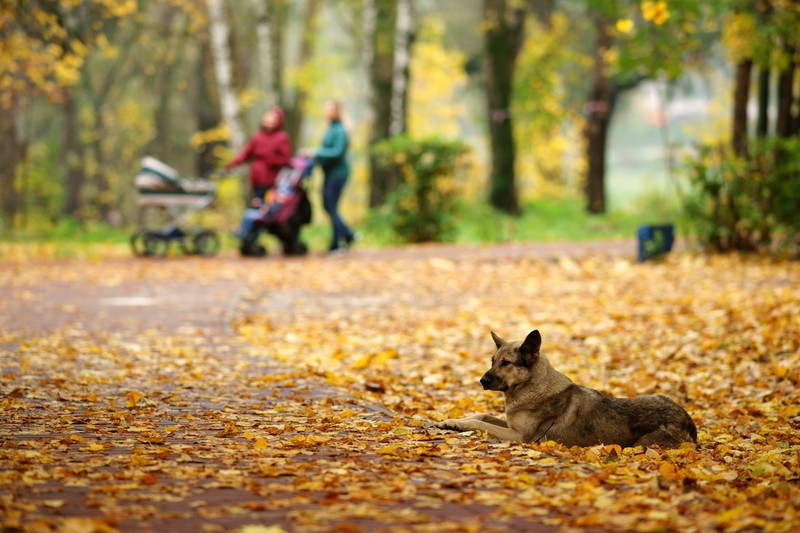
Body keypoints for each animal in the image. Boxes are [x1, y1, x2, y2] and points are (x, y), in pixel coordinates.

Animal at [434, 328, 696, 448]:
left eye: (506, 363)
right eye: (492, 361)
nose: (482, 381)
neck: (532, 386)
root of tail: (687, 420)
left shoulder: (520, 436)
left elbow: (481, 424)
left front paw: (459, 424)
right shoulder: (510, 425)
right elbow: (481, 415)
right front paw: (450, 420)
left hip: (642, 442)